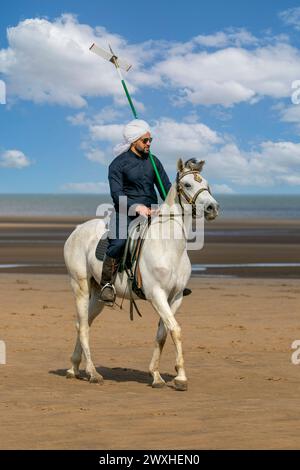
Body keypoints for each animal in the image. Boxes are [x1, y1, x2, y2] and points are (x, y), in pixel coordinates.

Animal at [63, 160, 218, 392]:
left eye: (206, 184)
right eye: (188, 184)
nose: (212, 208)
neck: (169, 246)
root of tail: (77, 230)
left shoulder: (175, 297)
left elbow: (163, 333)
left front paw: (156, 375)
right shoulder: (157, 295)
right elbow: (175, 329)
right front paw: (180, 378)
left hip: (97, 295)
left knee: (83, 323)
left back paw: (74, 368)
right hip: (79, 286)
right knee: (83, 328)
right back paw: (93, 373)